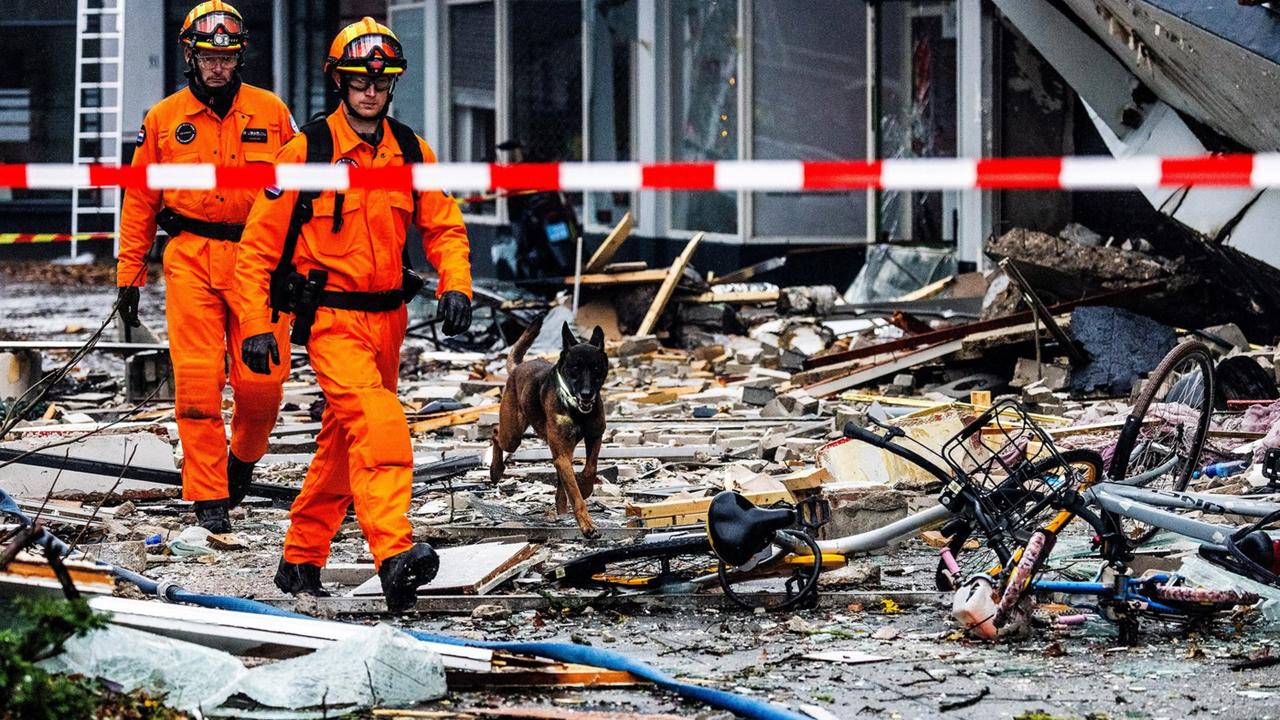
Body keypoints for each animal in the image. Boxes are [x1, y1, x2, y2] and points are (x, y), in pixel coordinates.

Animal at [488, 315, 609, 538]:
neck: (575, 409)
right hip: (513, 435)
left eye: (596, 368)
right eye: (575, 368)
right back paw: (496, 470)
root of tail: (518, 367)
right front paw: (587, 525)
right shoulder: (562, 455)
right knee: (495, 432)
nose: (587, 394)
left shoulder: (595, 435)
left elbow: (590, 468)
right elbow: (575, 494)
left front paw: (586, 487)